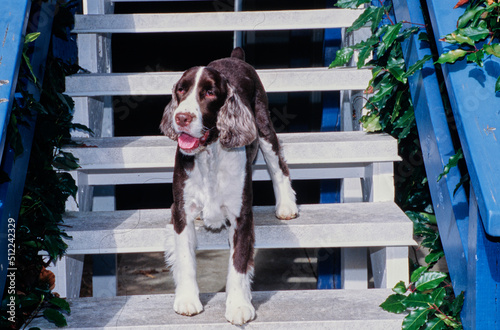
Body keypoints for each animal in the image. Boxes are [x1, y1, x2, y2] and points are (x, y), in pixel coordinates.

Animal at [162, 47, 298, 326]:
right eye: (181, 90)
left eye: (210, 93)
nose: (181, 117)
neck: (210, 155)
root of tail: (234, 57)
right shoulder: (180, 210)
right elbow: (185, 258)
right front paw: (187, 300)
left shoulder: (242, 215)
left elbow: (239, 263)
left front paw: (238, 306)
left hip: (263, 124)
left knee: (278, 164)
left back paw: (286, 205)